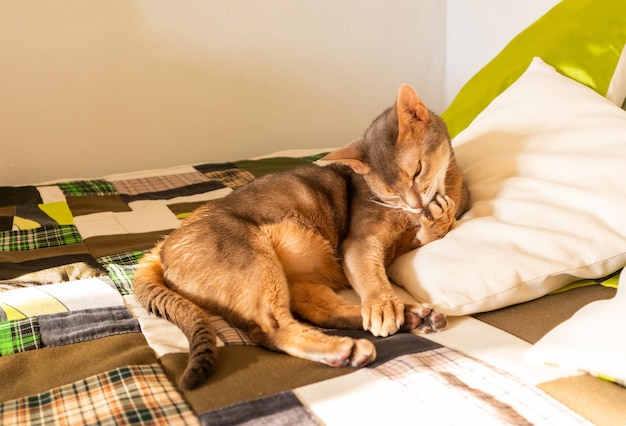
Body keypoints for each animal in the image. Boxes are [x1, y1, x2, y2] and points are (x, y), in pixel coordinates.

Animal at [133, 83, 468, 390]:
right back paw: (347, 346)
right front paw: (382, 305)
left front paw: (438, 218)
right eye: (390, 192)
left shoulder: (402, 243)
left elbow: (427, 235)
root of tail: (162, 245)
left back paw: (411, 316)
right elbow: (372, 277)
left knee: (324, 314)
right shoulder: (360, 242)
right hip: (256, 263)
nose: (415, 204)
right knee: (271, 329)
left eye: (417, 170)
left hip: (298, 281)